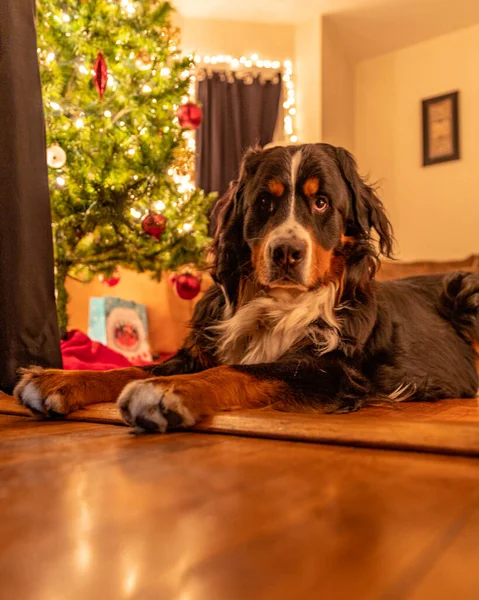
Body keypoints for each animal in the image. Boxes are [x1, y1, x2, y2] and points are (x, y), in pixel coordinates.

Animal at [14, 142, 479, 432]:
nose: (286, 252)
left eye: (322, 203)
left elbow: (240, 370)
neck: (278, 304)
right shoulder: (197, 351)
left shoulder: (329, 370)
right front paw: (57, 379)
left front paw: (168, 393)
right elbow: (129, 368)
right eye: (264, 202)